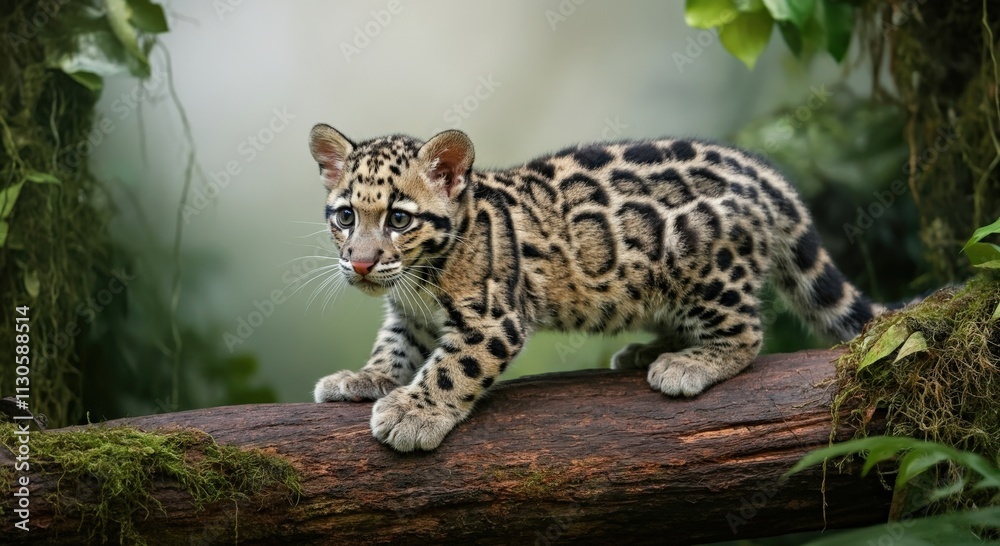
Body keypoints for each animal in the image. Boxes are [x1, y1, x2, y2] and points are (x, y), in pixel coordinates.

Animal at [308, 124, 889, 452]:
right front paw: (366, 377)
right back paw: (649, 350)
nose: (361, 264)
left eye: (399, 219)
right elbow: (394, 347)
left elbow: (453, 368)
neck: (420, 277)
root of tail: (764, 175)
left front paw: (413, 413)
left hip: (702, 266)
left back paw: (689, 363)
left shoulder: (493, 319)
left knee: (747, 332)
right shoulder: (408, 315)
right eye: (345, 216)